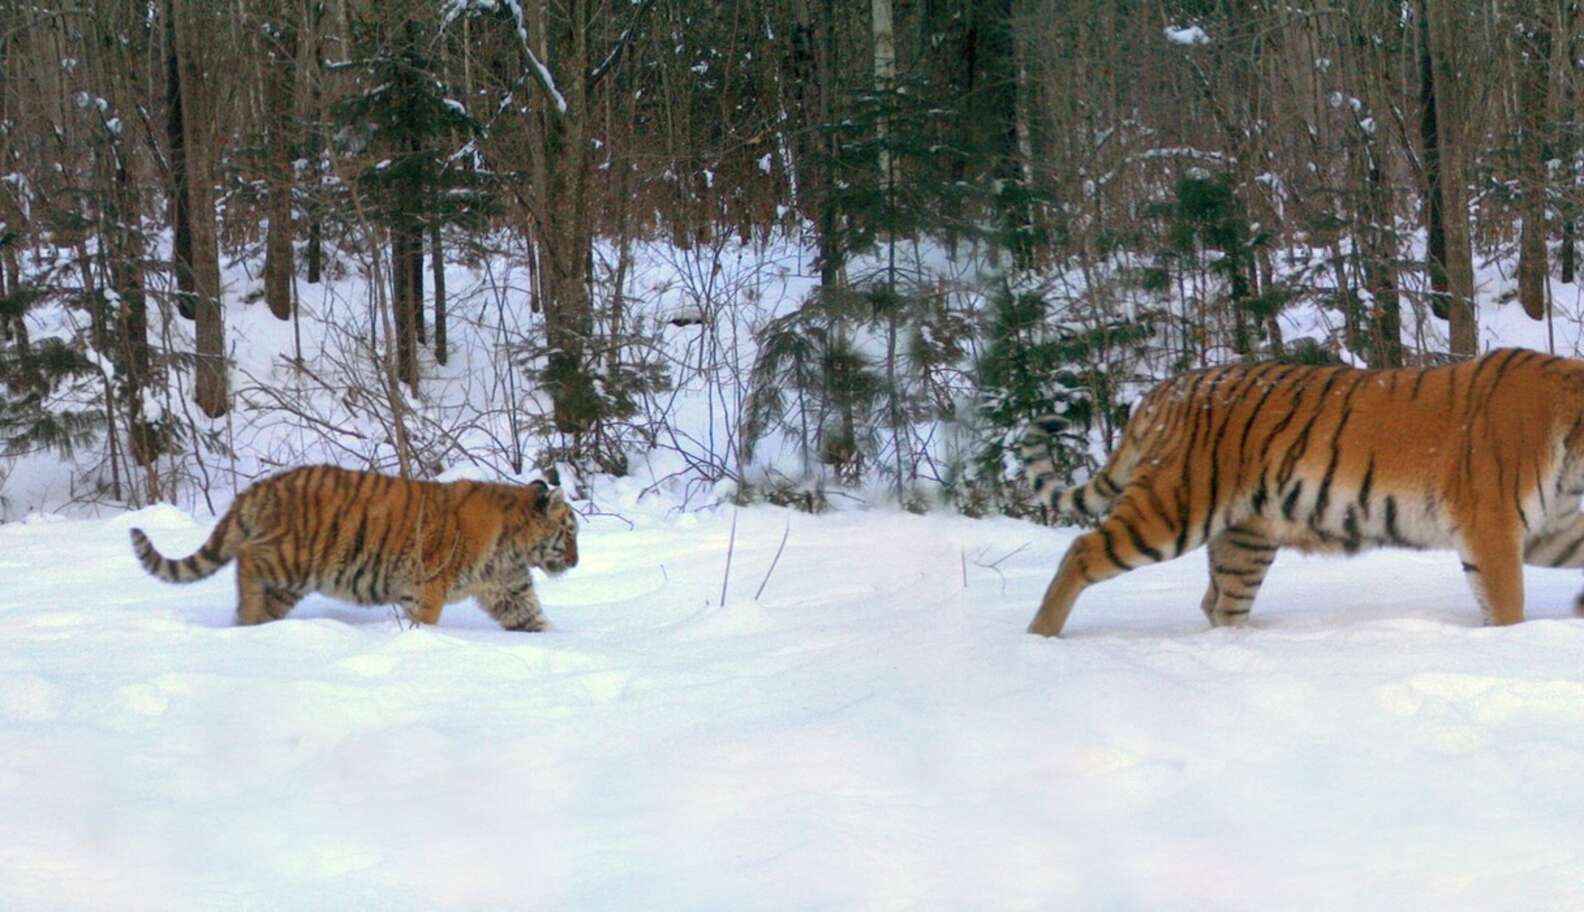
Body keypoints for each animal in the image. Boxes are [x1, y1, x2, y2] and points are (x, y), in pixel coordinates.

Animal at [129, 465, 576, 630]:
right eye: (570, 532)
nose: (576, 560)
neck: (513, 547)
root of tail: (263, 485)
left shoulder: (508, 590)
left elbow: (532, 619)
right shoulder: (427, 586)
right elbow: (425, 621)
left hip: (289, 584)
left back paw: (254, 624)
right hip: (291, 558)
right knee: (246, 558)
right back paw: (249, 616)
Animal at [1020, 345, 1584, 636]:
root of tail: (1161, 392)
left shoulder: (1549, 528)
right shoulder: (1491, 526)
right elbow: (1507, 606)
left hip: (1243, 537)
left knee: (1219, 602)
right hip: (1171, 507)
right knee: (1081, 552)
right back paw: (1041, 636)